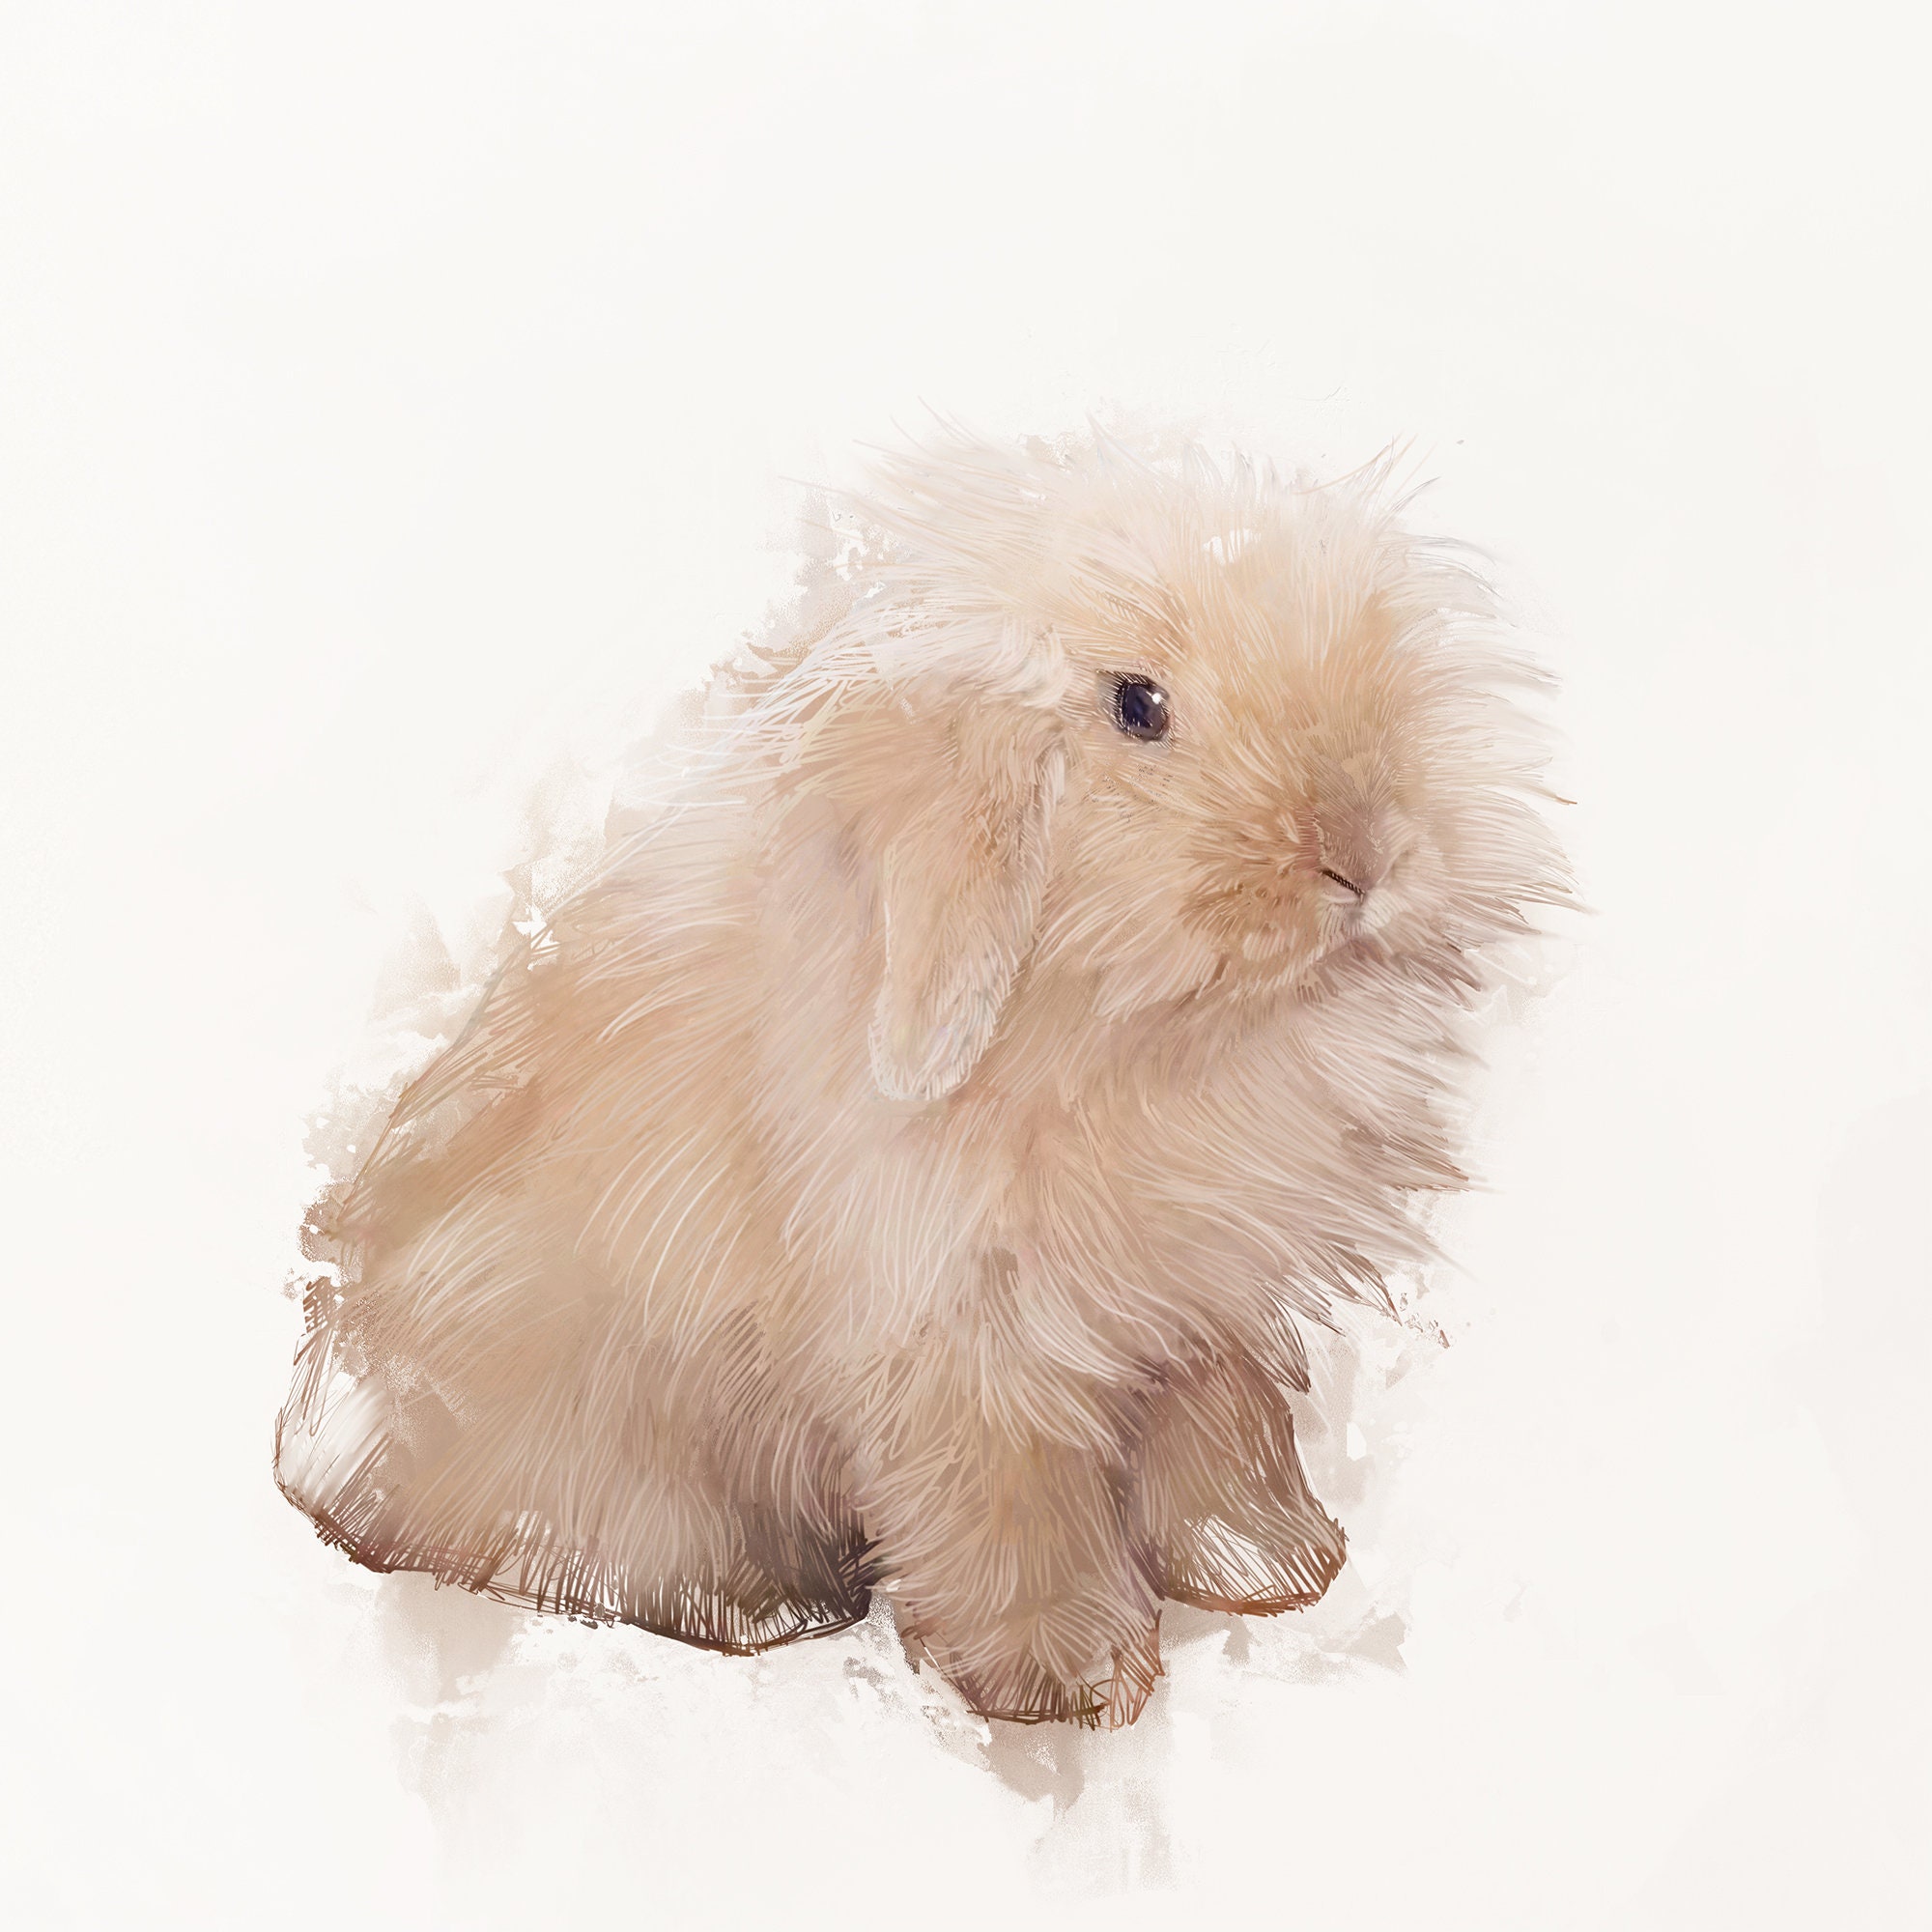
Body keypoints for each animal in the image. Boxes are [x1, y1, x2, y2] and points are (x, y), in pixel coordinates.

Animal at [276, 425, 1568, 1728]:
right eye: (1136, 705)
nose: (1367, 853)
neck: (1127, 1027)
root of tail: (316, 1448)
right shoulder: (957, 1344)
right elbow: (1010, 1507)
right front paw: (1074, 1677)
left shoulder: (1197, 1319)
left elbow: (1225, 1441)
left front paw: (1276, 1569)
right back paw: (762, 1603)